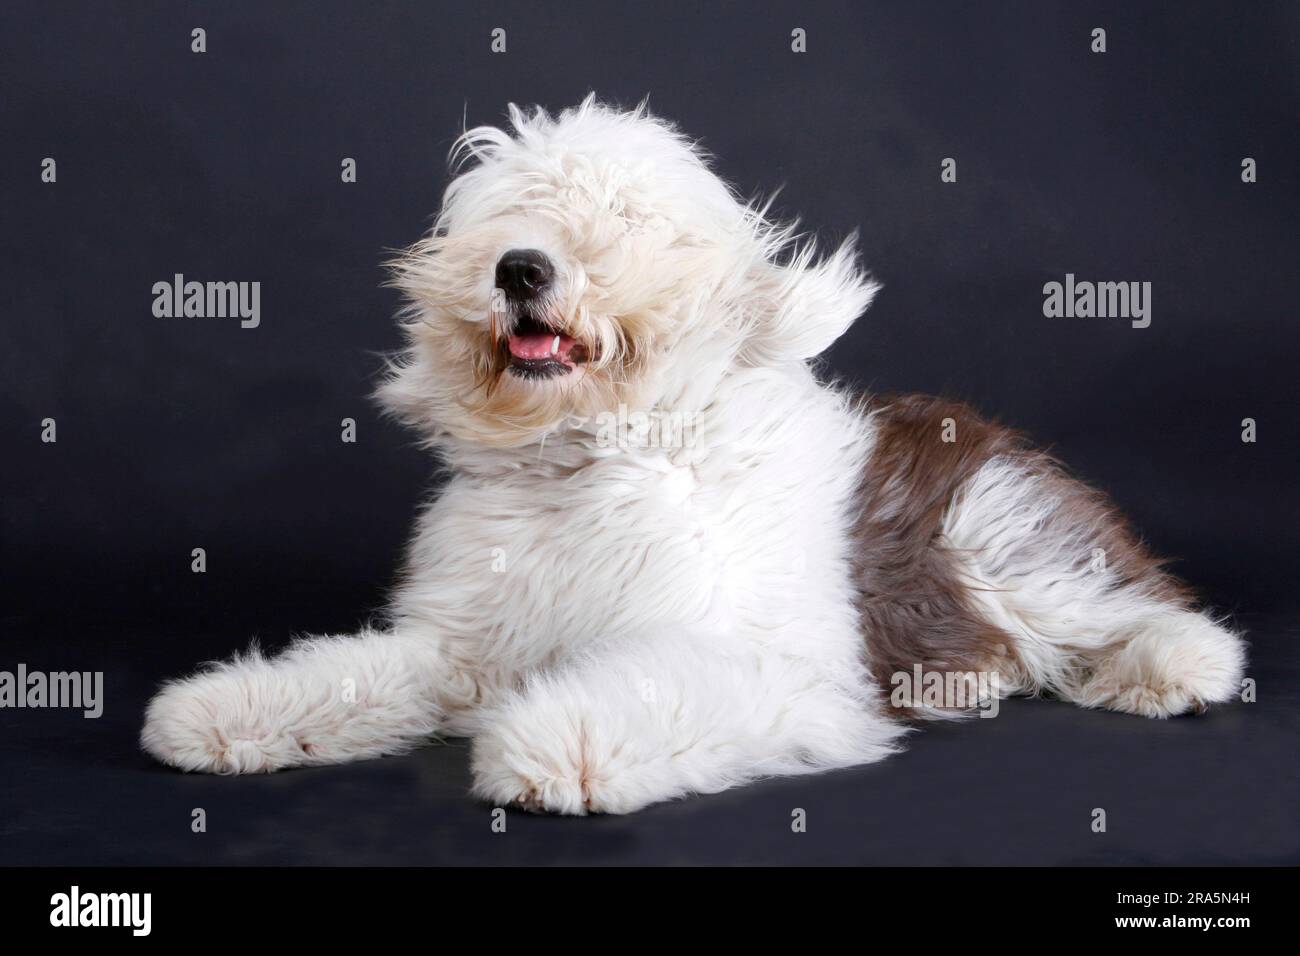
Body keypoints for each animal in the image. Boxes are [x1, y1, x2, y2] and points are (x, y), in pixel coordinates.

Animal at [137, 98, 1242, 816]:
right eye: (509, 215)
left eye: (623, 220)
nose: (520, 267)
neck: (589, 460)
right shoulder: (462, 647)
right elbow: (348, 674)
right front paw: (220, 711)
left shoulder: (772, 664)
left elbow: (648, 687)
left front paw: (555, 746)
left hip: (999, 537)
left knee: (1135, 607)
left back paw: (1165, 666)